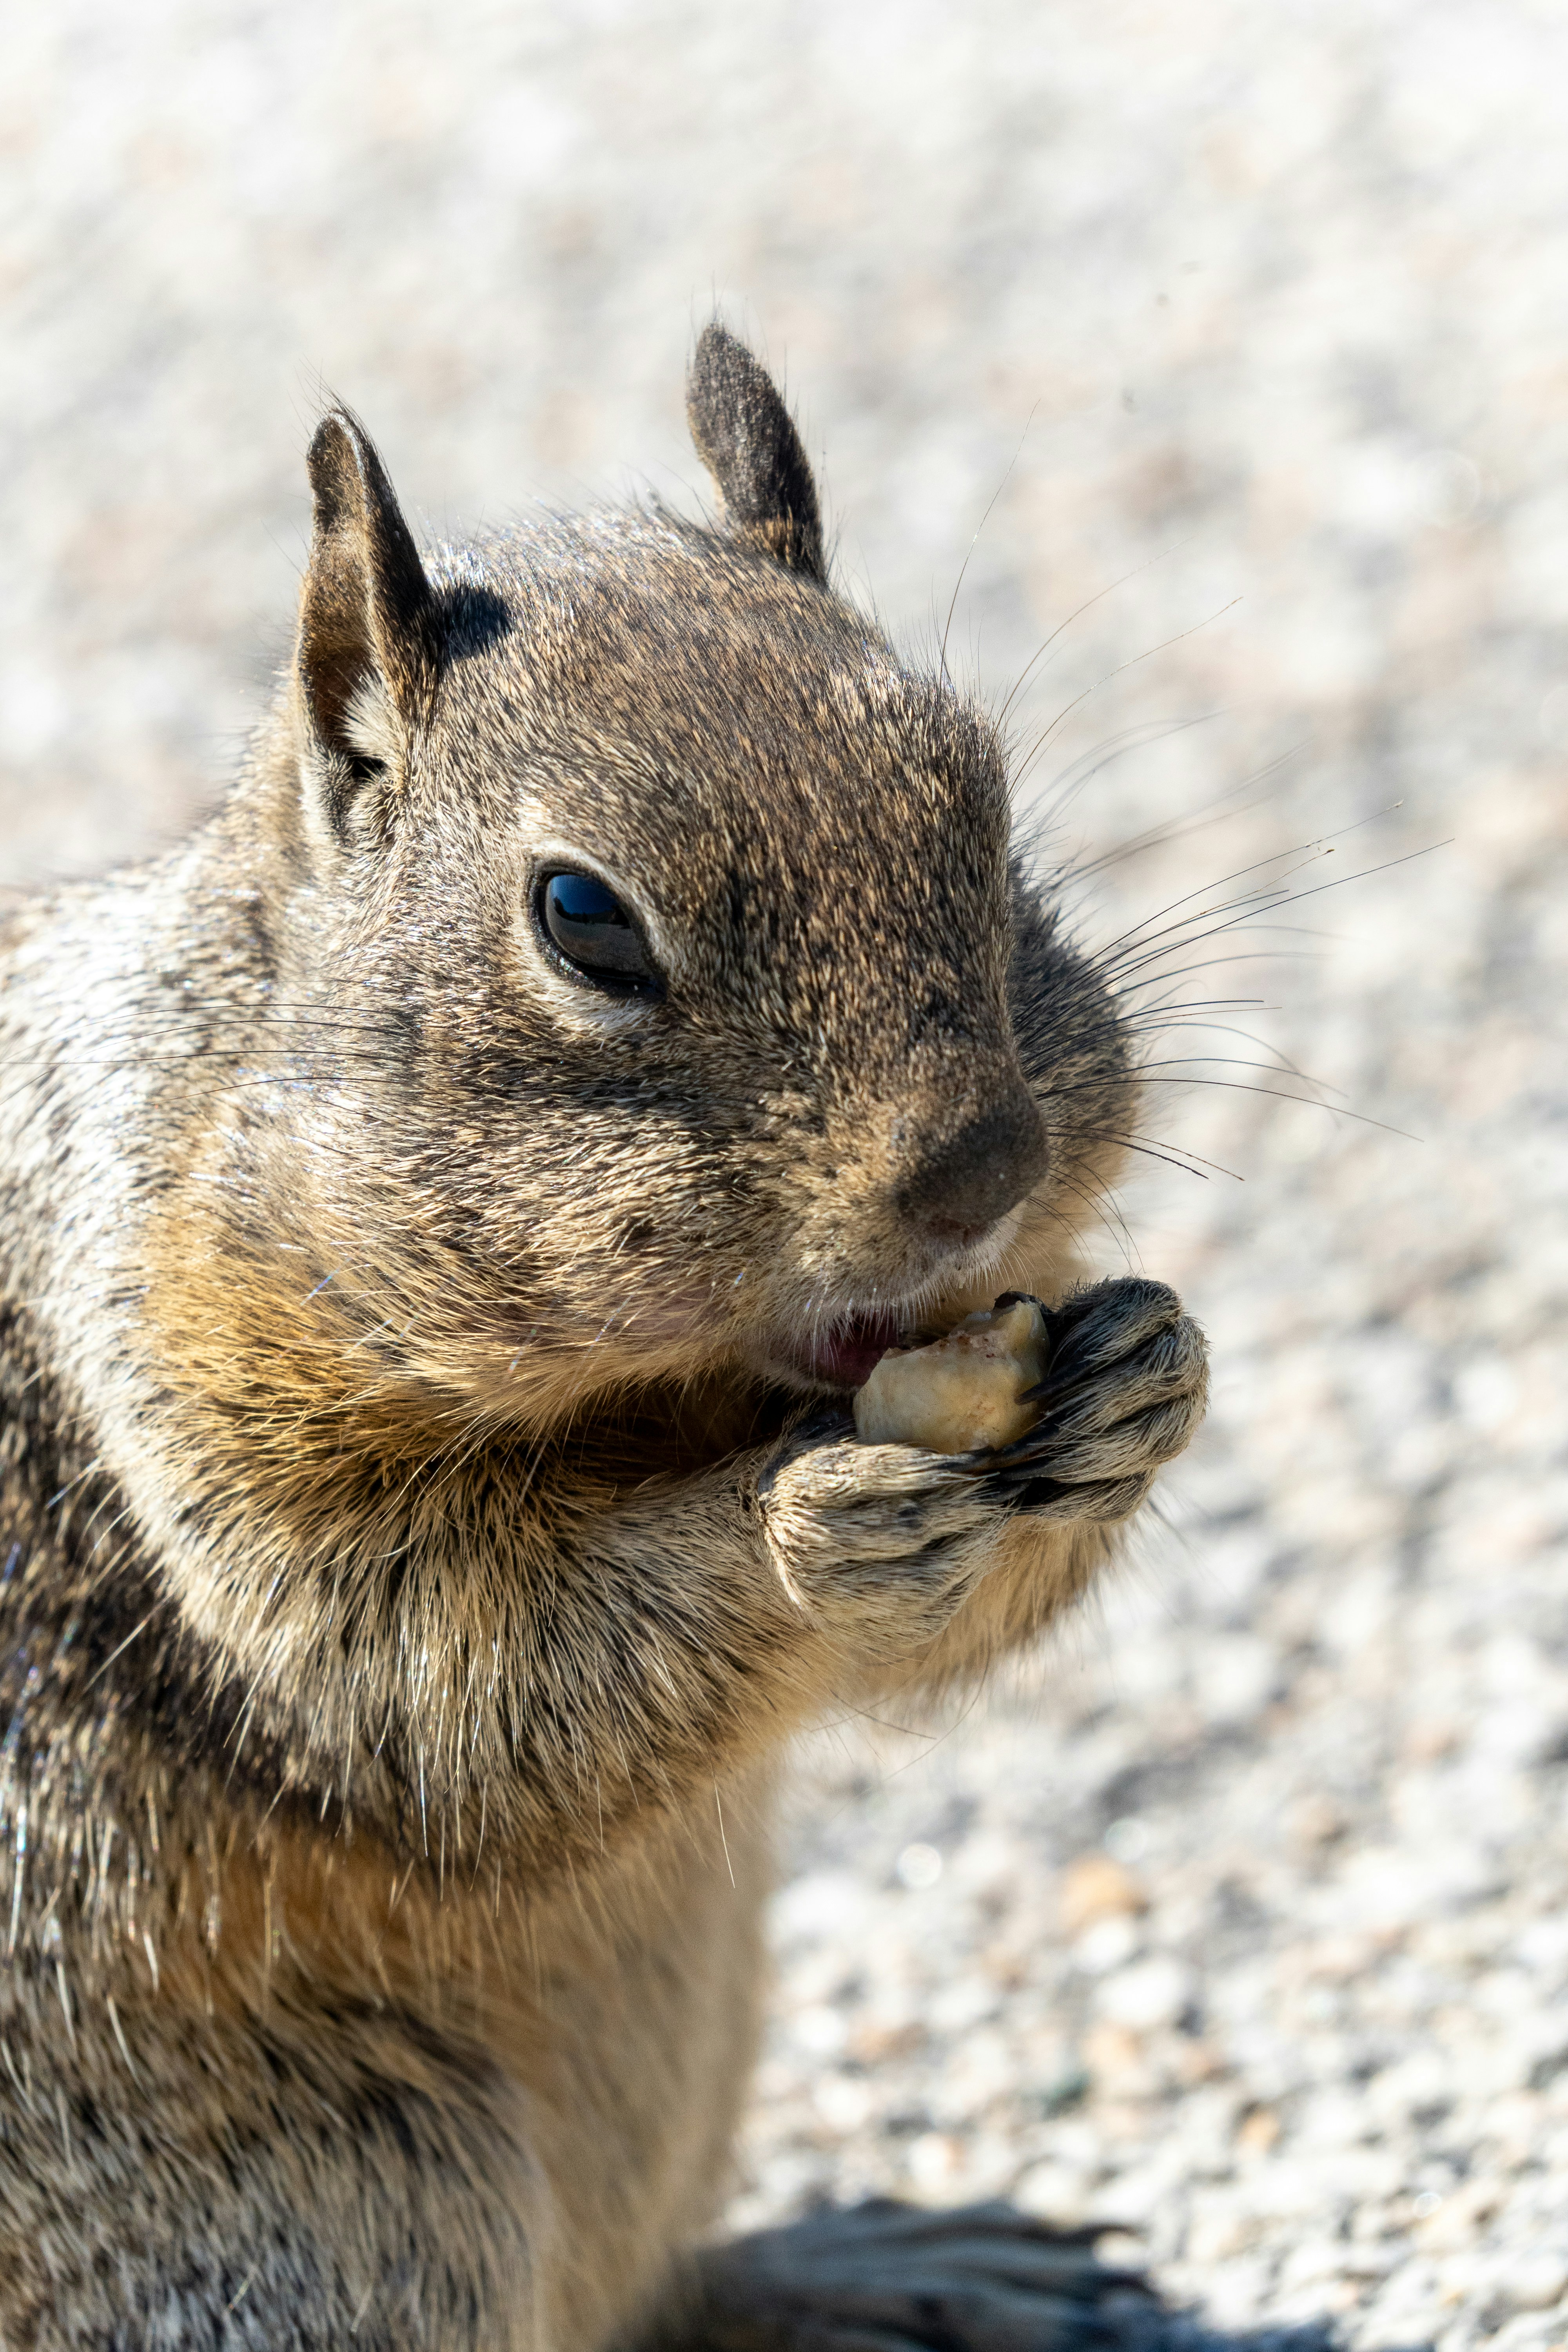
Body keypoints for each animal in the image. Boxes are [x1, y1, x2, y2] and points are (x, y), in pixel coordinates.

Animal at [0, 325, 1207, 2350]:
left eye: (981, 798)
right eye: (581, 920)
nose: (981, 1169)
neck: (669, 1407)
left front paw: (1141, 1378)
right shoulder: (174, 1420)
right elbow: (454, 1687)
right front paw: (802, 1542)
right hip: (358, 2220)